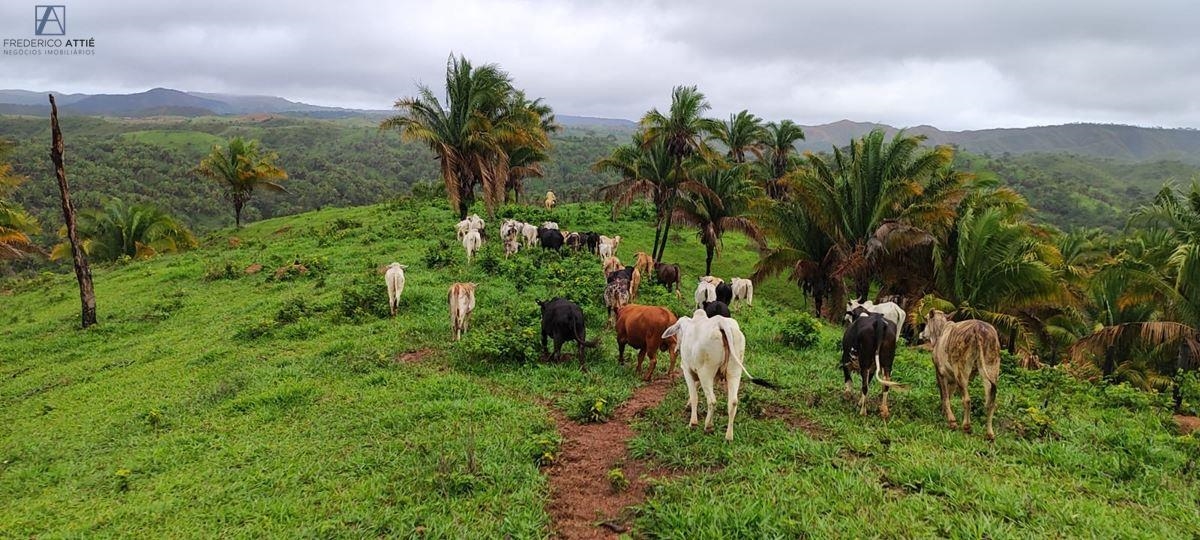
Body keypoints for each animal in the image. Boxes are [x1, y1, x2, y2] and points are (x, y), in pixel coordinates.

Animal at [662, 307, 772, 439]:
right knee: (733, 402)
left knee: (712, 401)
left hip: (706, 372)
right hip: (734, 371)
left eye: (678, 331)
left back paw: (708, 426)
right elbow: (697, 388)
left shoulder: (687, 369)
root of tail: (721, 322)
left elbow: (694, 396)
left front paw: (693, 422)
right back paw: (728, 436)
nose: (677, 349)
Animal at [916, 309, 1003, 441]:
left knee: (966, 399)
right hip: (991, 367)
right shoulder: (951, 378)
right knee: (991, 401)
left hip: (961, 370)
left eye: (926, 320)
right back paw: (989, 434)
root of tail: (978, 329)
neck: (940, 331)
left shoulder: (940, 373)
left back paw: (966, 426)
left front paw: (951, 421)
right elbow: (949, 395)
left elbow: (945, 396)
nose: (921, 334)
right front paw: (945, 413)